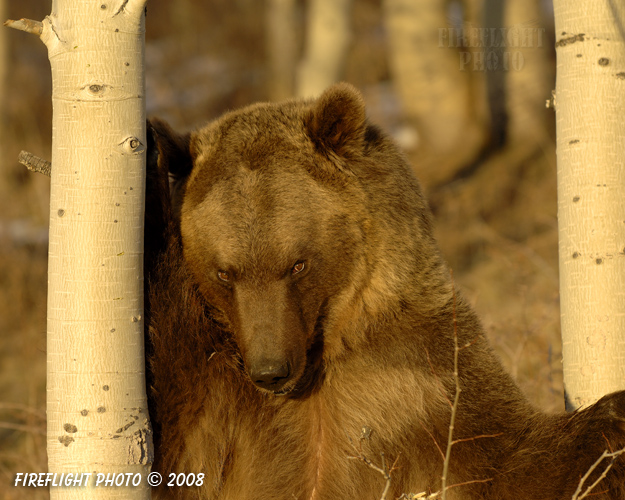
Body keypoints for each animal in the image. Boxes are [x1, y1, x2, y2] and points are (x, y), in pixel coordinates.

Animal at [144, 84, 624, 498]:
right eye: (225, 273)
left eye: (297, 264)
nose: (270, 371)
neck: (325, 352)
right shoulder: (216, 399)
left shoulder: (424, 386)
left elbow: (519, 459)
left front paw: (611, 419)